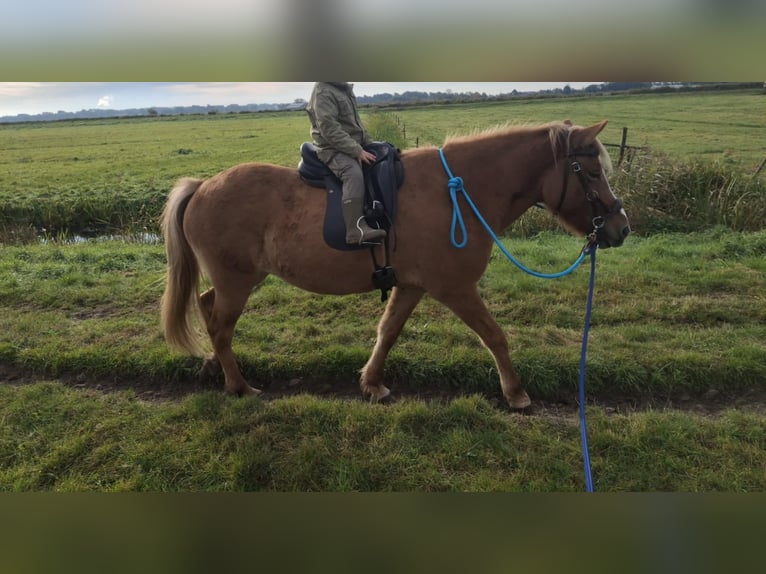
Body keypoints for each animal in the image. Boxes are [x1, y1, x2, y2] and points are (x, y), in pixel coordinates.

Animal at [160, 120, 632, 410]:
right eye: (592, 173)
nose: (621, 227)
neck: (456, 194)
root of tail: (202, 186)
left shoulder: (412, 286)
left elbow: (388, 332)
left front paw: (372, 382)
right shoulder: (455, 288)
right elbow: (495, 336)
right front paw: (515, 393)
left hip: (238, 281)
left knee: (207, 308)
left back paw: (214, 366)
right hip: (237, 282)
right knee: (221, 326)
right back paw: (239, 385)